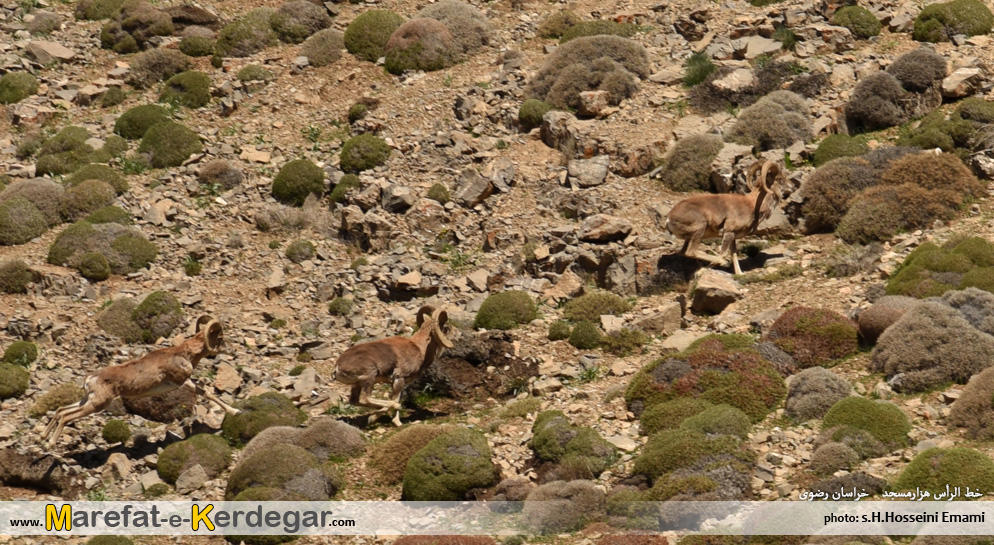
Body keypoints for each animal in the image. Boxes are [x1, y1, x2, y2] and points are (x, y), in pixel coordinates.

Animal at [42, 314, 234, 446]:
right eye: (220, 338)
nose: (231, 350)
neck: (184, 354)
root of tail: (91, 379)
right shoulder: (184, 381)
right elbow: (208, 394)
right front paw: (234, 411)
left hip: (87, 401)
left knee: (60, 410)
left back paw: (42, 438)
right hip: (97, 405)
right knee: (66, 416)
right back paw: (49, 444)